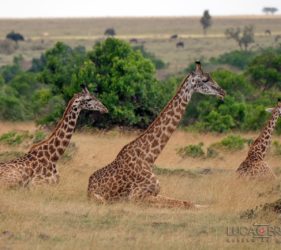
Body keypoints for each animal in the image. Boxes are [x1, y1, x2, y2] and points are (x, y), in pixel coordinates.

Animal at [87, 61, 225, 208]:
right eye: (205, 79)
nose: (222, 91)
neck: (149, 157)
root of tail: (88, 186)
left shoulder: (155, 193)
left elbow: (186, 201)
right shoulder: (136, 197)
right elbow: (182, 204)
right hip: (101, 199)